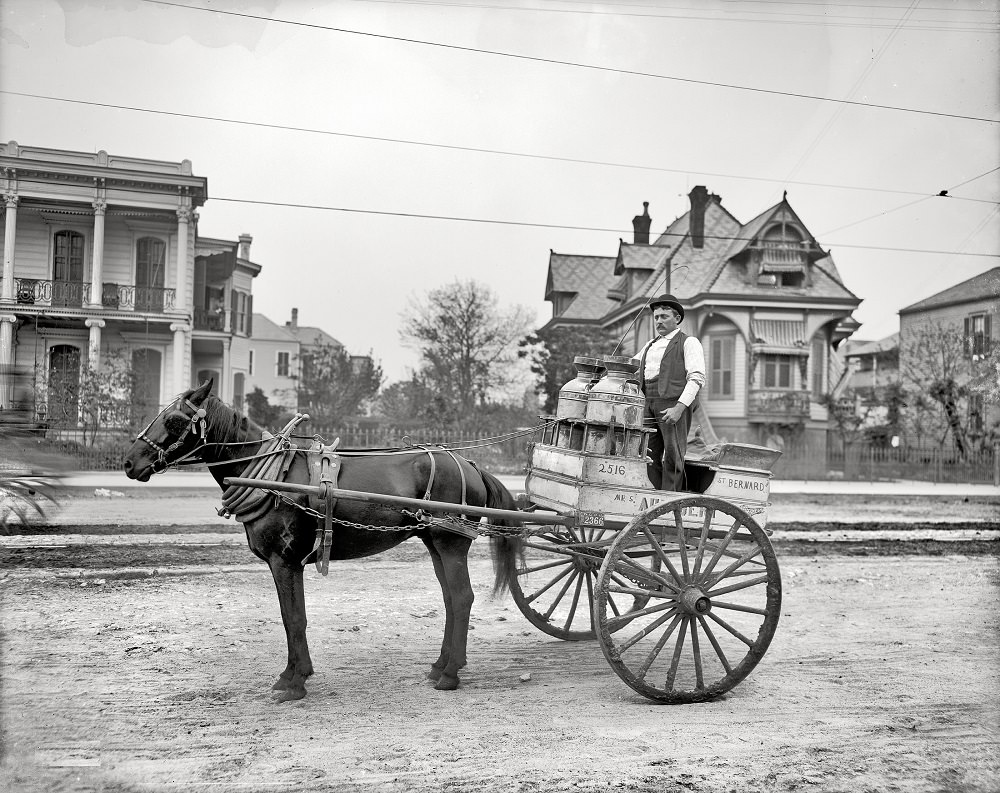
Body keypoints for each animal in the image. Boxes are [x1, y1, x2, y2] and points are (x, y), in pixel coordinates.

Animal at [121, 380, 520, 704]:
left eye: (174, 421)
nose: (128, 462)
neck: (275, 477)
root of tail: (470, 465)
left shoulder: (283, 561)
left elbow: (294, 619)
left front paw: (295, 683)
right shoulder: (284, 564)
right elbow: (289, 617)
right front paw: (293, 674)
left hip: (450, 543)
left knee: (462, 598)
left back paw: (450, 675)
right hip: (434, 543)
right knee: (451, 600)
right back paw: (441, 665)